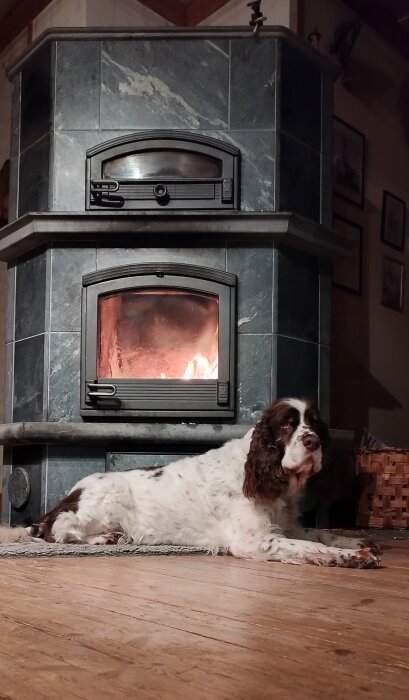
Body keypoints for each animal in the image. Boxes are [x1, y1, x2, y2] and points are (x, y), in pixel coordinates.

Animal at [0, 400, 380, 568]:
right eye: (286, 425)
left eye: (314, 424)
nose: (313, 442)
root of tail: (68, 495)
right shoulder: (253, 540)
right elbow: (306, 547)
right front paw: (350, 556)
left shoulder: (285, 525)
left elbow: (318, 534)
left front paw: (357, 541)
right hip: (104, 502)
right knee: (56, 530)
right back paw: (101, 538)